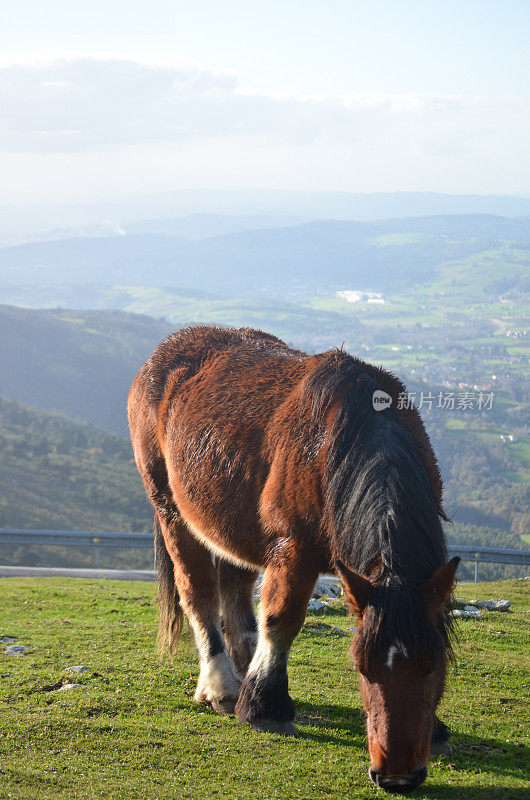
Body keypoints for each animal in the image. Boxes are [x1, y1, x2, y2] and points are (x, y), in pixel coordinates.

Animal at [129, 324, 458, 788]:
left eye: (433, 665)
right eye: (362, 668)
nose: (397, 777)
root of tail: (165, 351)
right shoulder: (293, 549)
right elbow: (281, 620)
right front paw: (265, 709)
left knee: (235, 592)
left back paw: (244, 671)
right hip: (170, 509)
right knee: (199, 594)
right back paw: (223, 686)